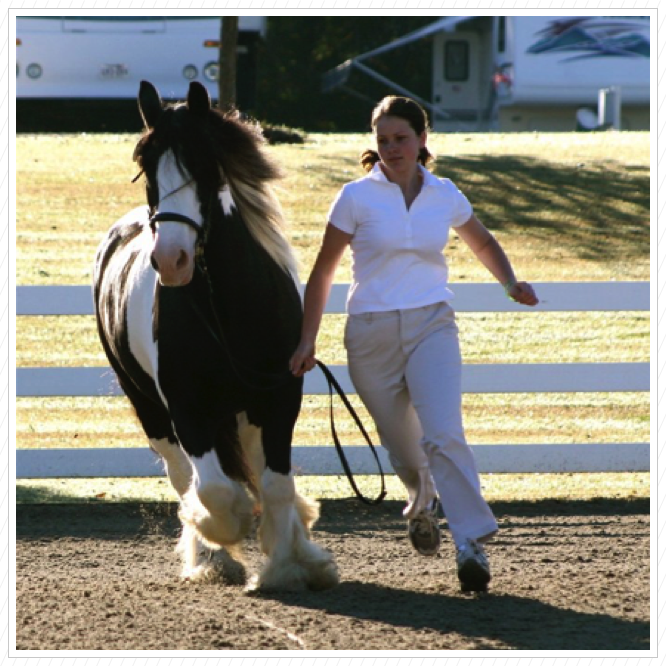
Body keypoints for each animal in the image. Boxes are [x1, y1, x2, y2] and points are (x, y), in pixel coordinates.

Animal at [92, 80, 338, 588]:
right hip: (150, 409)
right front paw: (226, 536)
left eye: (205, 164)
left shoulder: (279, 398)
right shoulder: (187, 409)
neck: (228, 307)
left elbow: (276, 484)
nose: (171, 261)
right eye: (145, 167)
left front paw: (289, 563)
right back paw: (210, 555)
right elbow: (216, 491)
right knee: (185, 477)